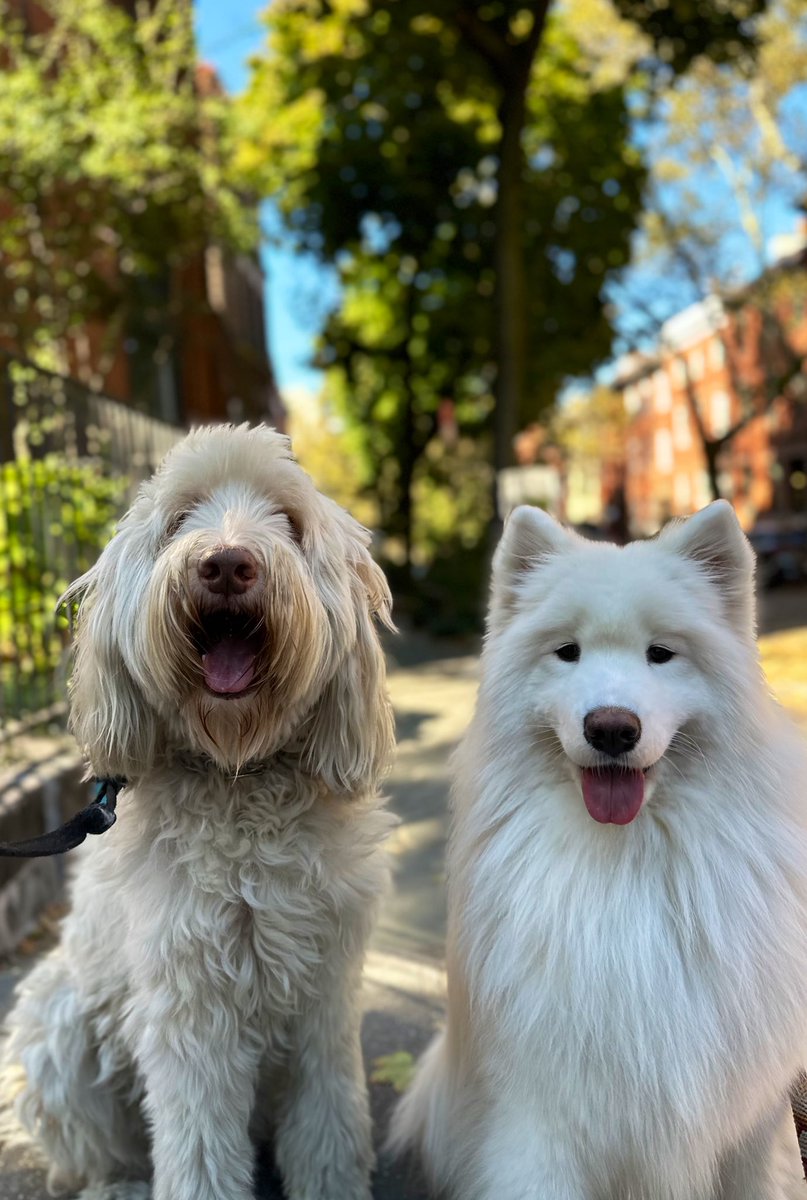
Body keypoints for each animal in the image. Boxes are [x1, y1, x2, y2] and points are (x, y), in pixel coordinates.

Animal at [0, 424, 396, 1200]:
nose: (227, 564)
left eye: (289, 522)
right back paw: (120, 1185)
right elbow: (200, 1144)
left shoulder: (325, 994)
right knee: (98, 1147)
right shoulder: (190, 1002)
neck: (241, 776)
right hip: (56, 1022)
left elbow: (329, 1123)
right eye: (182, 517)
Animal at [391, 501, 806, 1200]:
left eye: (661, 654)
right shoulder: (541, 1126)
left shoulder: (753, 1125)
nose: (612, 727)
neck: (626, 862)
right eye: (567, 652)